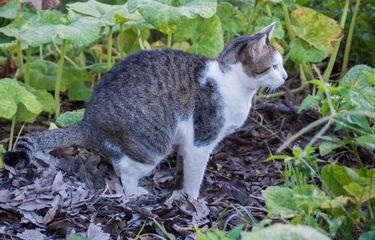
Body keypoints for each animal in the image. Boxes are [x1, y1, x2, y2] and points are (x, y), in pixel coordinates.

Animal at [2, 23, 288, 199]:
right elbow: (194, 177)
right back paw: (135, 193)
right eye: (274, 66)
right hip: (152, 147)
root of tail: (88, 121)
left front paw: (179, 191)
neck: (233, 84)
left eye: (282, 65)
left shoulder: (186, 143)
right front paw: (193, 201)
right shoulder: (201, 140)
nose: (285, 76)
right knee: (127, 173)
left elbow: (182, 170)